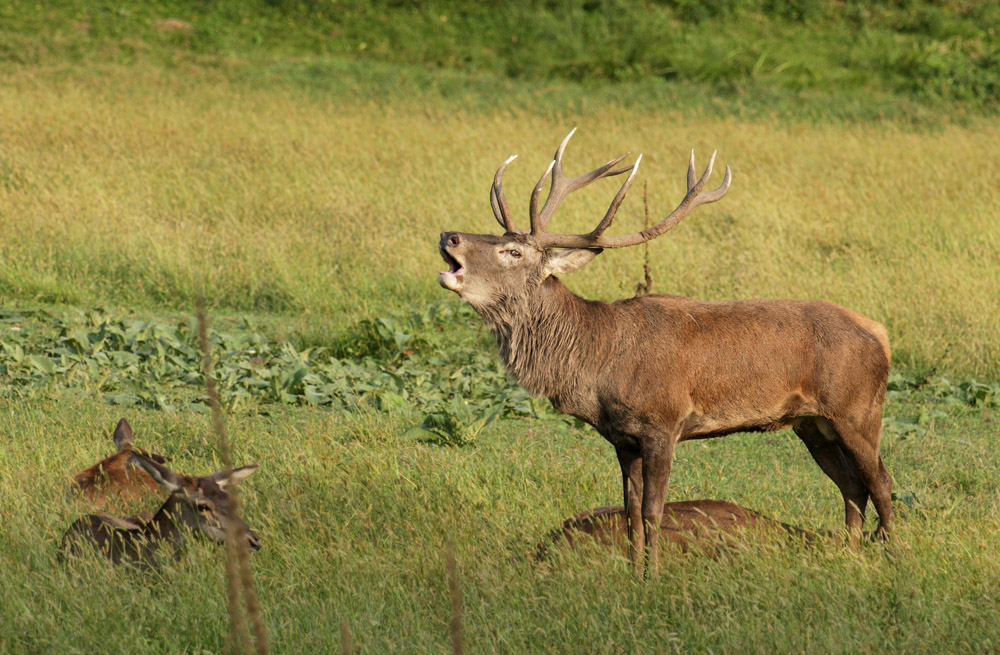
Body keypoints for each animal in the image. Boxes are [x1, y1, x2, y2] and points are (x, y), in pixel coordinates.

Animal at [437, 129, 893, 574]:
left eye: (512, 251)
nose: (448, 235)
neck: (597, 363)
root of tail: (880, 333)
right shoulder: (623, 438)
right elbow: (630, 514)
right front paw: (633, 574)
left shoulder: (664, 422)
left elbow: (654, 512)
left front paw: (654, 576)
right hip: (812, 423)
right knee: (852, 485)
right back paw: (850, 555)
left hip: (857, 409)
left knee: (881, 482)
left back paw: (892, 555)